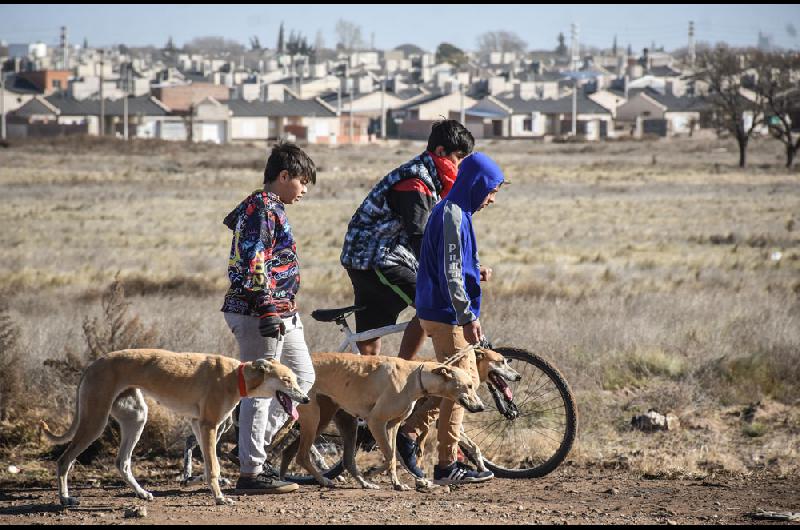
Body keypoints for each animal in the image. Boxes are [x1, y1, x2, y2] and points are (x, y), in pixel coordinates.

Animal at [39, 348, 310, 506]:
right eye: (287, 380)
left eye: (295, 380)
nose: (306, 399)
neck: (236, 376)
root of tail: (94, 364)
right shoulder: (209, 426)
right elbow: (213, 467)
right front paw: (220, 498)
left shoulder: (199, 425)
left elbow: (207, 465)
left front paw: (199, 484)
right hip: (95, 421)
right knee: (64, 460)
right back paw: (65, 498)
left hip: (136, 418)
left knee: (122, 462)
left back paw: (142, 493)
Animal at [282, 350, 488, 490]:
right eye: (469, 385)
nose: (481, 407)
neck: (414, 376)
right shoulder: (376, 422)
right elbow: (389, 454)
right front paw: (378, 474)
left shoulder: (392, 425)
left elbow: (392, 455)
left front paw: (394, 481)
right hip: (315, 419)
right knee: (302, 455)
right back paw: (324, 480)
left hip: (336, 421)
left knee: (298, 453)